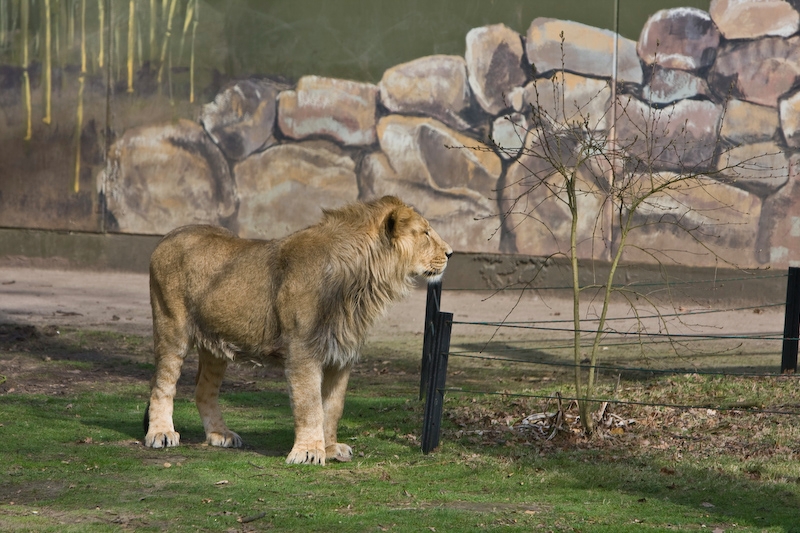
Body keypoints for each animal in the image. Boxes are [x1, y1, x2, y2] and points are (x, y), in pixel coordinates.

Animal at [143, 196, 452, 465]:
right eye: (426, 233)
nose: (450, 253)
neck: (361, 284)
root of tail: (167, 236)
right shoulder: (303, 351)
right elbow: (310, 405)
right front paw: (308, 452)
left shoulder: (341, 357)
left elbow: (332, 408)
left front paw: (329, 448)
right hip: (172, 329)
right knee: (162, 384)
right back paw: (161, 433)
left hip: (215, 346)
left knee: (203, 390)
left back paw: (220, 435)